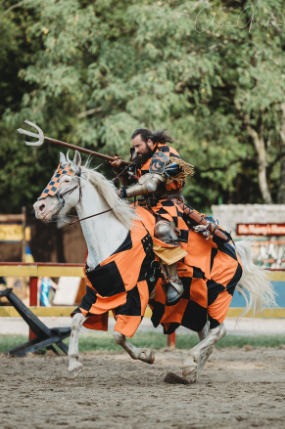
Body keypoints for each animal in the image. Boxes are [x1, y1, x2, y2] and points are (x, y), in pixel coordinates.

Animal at [32, 151, 276, 382]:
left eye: (66, 179)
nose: (39, 207)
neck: (111, 238)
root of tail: (234, 249)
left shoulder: (134, 297)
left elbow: (118, 335)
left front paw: (147, 355)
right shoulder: (99, 295)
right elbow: (76, 320)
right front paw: (74, 363)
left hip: (216, 294)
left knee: (219, 330)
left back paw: (189, 362)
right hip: (195, 304)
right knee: (207, 335)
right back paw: (190, 373)